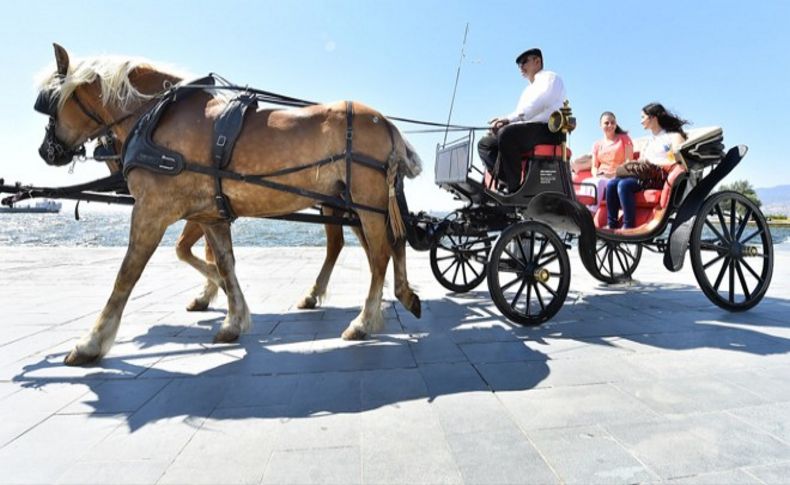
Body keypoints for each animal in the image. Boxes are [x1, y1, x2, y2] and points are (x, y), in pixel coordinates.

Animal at [35, 44, 426, 364]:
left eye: (51, 103)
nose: (45, 151)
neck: (155, 116)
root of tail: (387, 124)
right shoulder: (210, 213)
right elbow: (223, 262)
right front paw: (232, 317)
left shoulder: (151, 209)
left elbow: (127, 274)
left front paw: (91, 342)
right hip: (360, 205)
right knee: (389, 244)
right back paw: (399, 296)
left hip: (365, 202)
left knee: (380, 254)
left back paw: (363, 321)